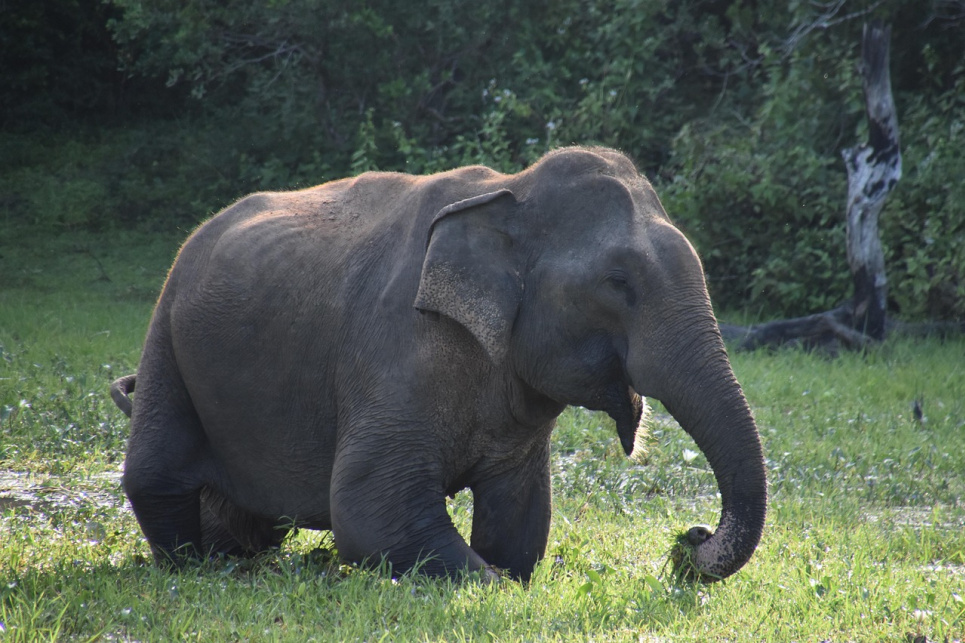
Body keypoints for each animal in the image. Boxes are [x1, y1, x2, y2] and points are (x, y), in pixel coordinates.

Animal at [109, 147, 764, 584]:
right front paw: (496, 585)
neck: (511, 190)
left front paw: (508, 572)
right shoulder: (396, 352)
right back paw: (198, 565)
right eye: (619, 283)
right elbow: (369, 510)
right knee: (157, 478)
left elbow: (519, 520)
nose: (691, 537)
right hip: (166, 334)